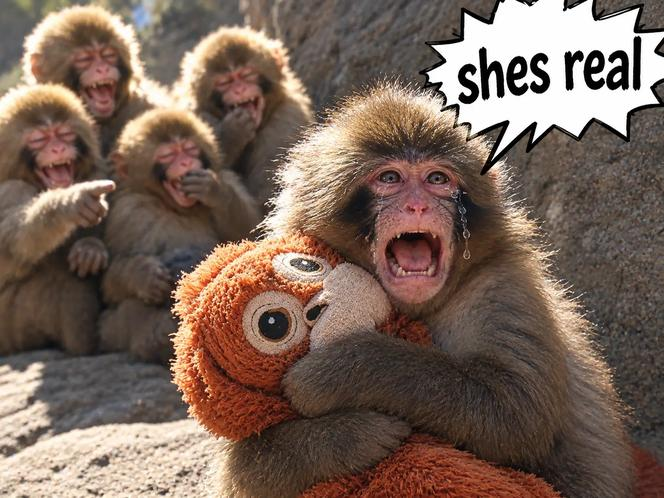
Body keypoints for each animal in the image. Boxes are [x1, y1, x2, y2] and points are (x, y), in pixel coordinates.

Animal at [0, 84, 115, 356]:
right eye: (39, 139)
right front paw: (72, 202)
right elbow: (17, 238)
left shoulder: (97, 169)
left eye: (63, 134)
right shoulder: (10, 190)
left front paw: (90, 248)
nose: (57, 149)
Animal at [99, 108, 261, 364]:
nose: (185, 162)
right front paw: (145, 276)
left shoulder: (230, 181)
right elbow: (109, 285)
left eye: (189, 149)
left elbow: (253, 235)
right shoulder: (128, 212)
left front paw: (214, 190)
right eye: (168, 155)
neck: (176, 207)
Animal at [173, 26, 313, 213]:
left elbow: (266, 203)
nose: (239, 89)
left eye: (247, 74)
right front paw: (232, 134)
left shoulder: (285, 123)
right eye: (224, 82)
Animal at [210, 82, 635, 498]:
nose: (418, 206)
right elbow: (246, 471)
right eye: (389, 178)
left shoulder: (504, 289)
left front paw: (342, 369)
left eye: (437, 179)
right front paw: (351, 436)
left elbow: (517, 412)